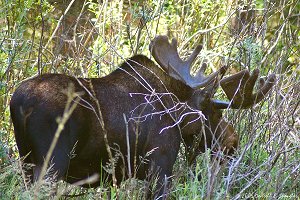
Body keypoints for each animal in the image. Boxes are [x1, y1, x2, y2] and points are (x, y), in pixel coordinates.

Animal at [10, 35, 276, 198]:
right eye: (214, 112)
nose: (233, 142)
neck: (176, 110)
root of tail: (19, 102)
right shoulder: (160, 167)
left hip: (26, 161)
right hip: (51, 163)